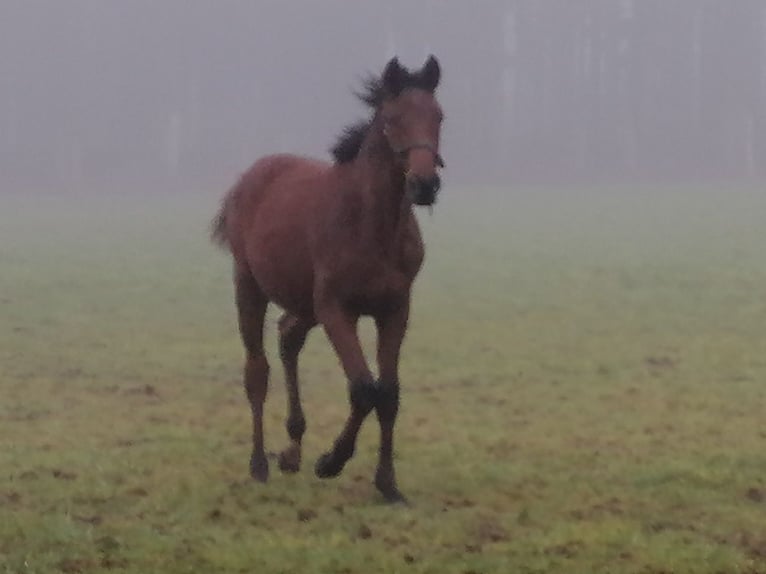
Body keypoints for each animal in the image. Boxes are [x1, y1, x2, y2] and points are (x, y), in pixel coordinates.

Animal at [213, 55, 448, 504]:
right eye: (391, 119)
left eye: (439, 116)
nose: (425, 185)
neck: (372, 226)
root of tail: (248, 178)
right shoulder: (337, 308)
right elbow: (363, 387)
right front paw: (330, 461)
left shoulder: (395, 308)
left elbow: (389, 392)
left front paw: (388, 485)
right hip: (250, 285)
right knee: (257, 369)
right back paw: (260, 464)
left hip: (303, 302)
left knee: (288, 336)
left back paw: (292, 450)